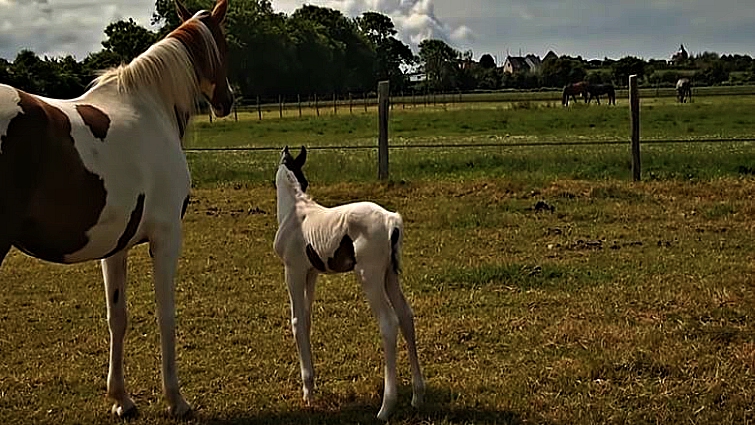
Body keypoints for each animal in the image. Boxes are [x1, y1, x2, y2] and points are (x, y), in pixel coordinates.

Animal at [0, 0, 232, 417]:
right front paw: (176, 399)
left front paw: (122, 399)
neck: (151, 106)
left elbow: (117, 317)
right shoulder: (166, 238)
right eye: (223, 46)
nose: (227, 100)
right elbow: (166, 314)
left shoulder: (115, 247)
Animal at [273, 146, 425, 421]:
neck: (295, 212)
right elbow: (307, 320)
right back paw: (417, 397)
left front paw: (307, 393)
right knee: (406, 317)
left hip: (370, 276)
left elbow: (297, 321)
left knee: (389, 323)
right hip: (390, 275)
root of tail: (391, 220)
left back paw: (385, 407)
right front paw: (312, 385)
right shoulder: (311, 273)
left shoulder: (293, 271)